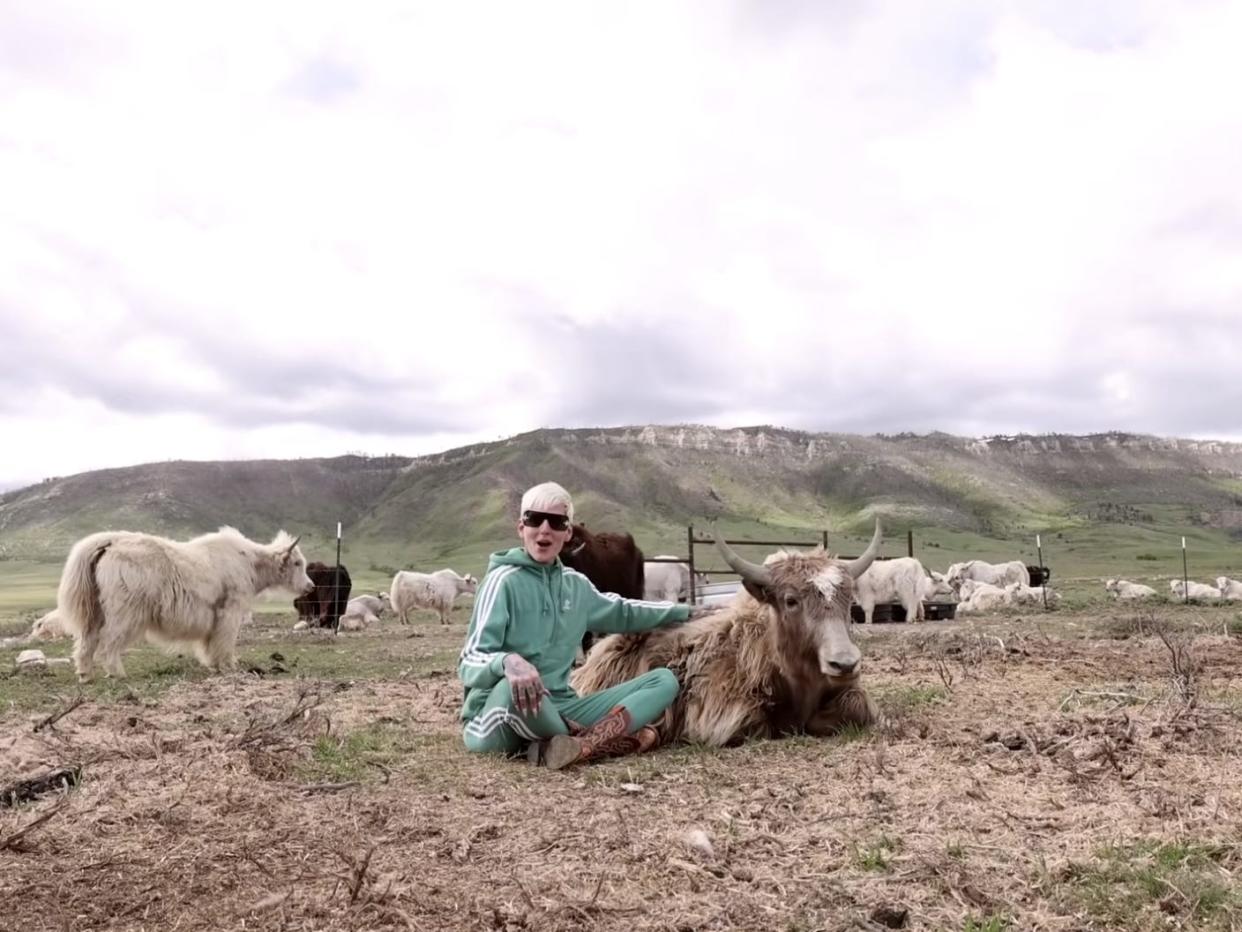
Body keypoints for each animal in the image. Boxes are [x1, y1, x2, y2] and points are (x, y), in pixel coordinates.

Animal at [56, 529, 312, 680]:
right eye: (297, 563)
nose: (310, 587)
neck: (251, 562)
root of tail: (109, 543)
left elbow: (210, 642)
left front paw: (213, 664)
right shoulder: (229, 610)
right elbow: (225, 639)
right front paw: (229, 665)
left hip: (96, 609)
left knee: (87, 639)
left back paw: (85, 674)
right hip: (124, 610)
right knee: (109, 640)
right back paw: (117, 673)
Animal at [571, 521, 884, 750]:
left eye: (848, 598)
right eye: (791, 600)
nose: (844, 663)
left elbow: (856, 707)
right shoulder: (723, 713)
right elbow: (756, 725)